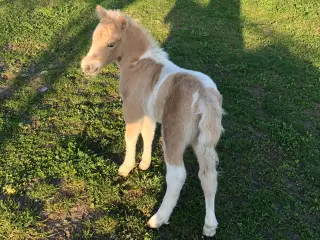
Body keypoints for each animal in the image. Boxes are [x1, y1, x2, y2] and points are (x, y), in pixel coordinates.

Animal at [81, 5, 224, 236]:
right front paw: (144, 164)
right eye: (93, 38)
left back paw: (157, 219)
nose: (86, 67)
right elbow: (147, 134)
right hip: (203, 141)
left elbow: (130, 136)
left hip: (174, 135)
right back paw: (210, 226)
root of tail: (203, 95)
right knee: (208, 175)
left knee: (177, 175)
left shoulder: (132, 108)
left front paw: (126, 167)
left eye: (111, 43)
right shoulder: (148, 111)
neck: (138, 63)